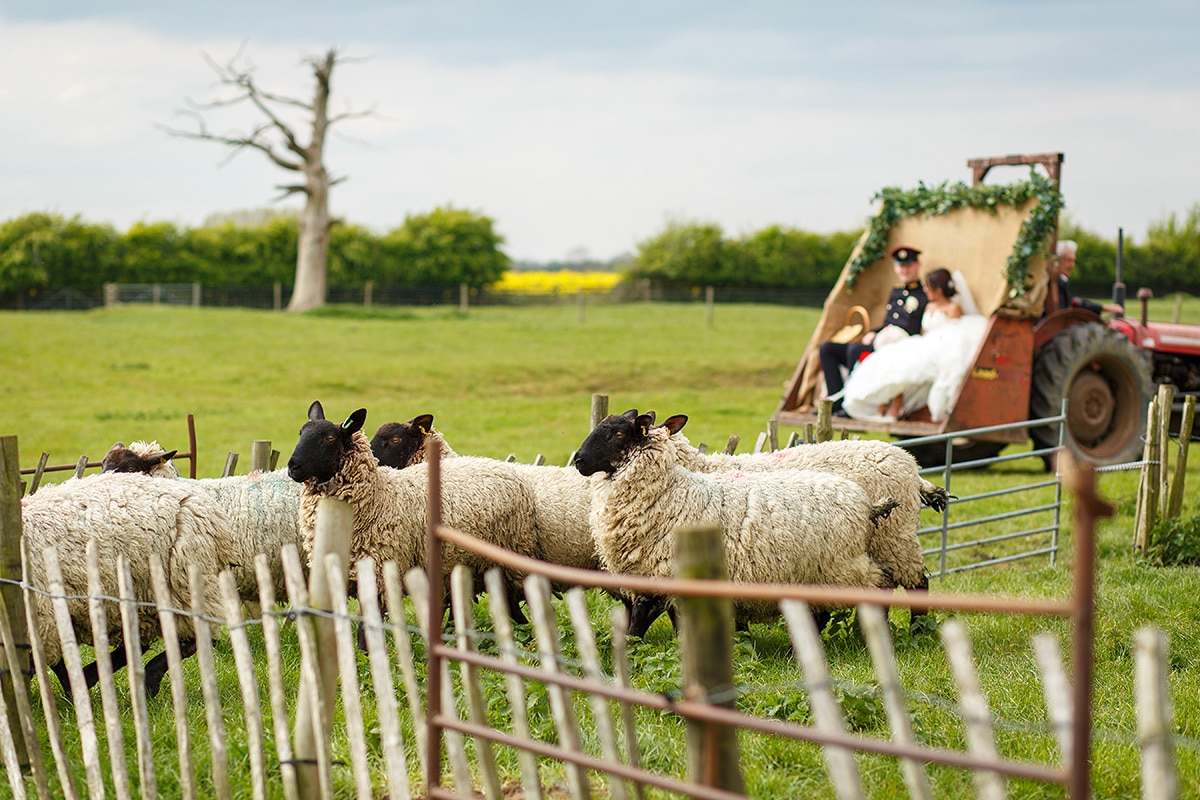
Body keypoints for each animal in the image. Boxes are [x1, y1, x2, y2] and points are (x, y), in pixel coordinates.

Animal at [573, 410, 902, 633]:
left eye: (617, 434)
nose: (578, 460)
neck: (670, 491)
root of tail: (867, 505)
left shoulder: (657, 576)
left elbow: (639, 625)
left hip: (845, 566)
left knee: (883, 585)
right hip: (820, 573)